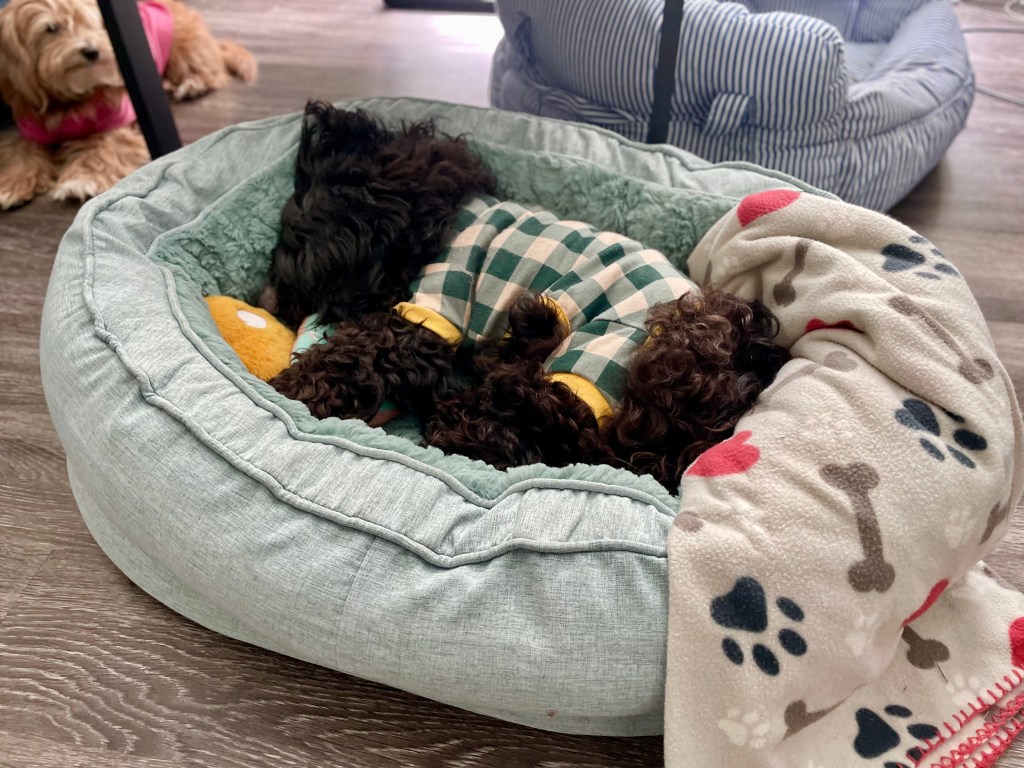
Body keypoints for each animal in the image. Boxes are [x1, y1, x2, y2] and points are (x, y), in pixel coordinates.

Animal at [0, 0, 256, 208]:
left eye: (98, 24)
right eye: (51, 28)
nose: (91, 51)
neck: (72, 99)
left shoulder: (117, 121)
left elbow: (106, 146)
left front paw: (81, 180)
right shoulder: (27, 125)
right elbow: (19, 153)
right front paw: (10, 186)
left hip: (183, 47)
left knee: (208, 69)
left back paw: (192, 85)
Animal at [260, 102, 786, 489]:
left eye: (291, 248)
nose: (267, 300)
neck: (431, 215)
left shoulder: (430, 312)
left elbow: (353, 353)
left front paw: (287, 388)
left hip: (590, 362)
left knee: (505, 433)